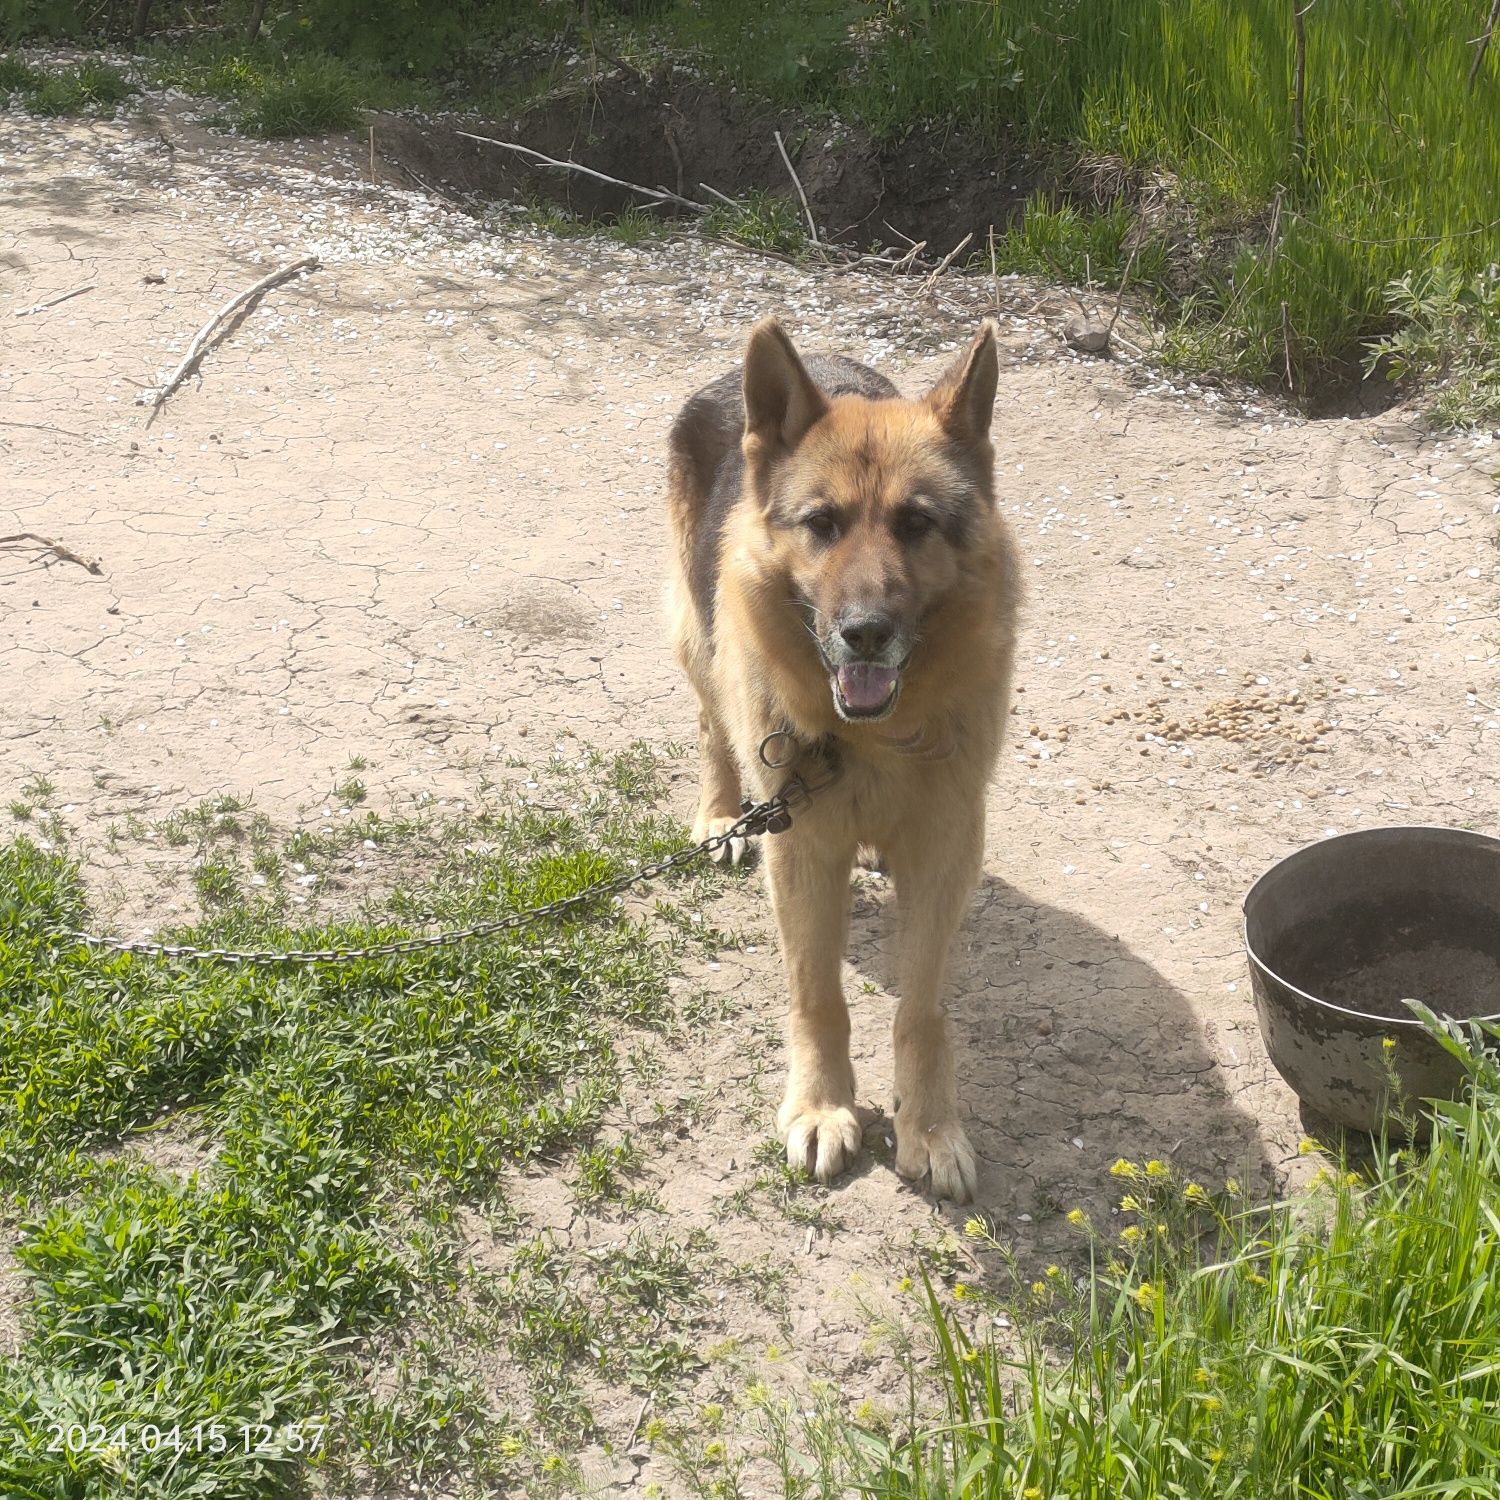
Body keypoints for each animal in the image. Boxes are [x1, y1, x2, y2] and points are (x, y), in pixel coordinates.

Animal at [666, 319, 1020, 1206]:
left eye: (916, 524)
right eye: (822, 523)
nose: (864, 633)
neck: (873, 744)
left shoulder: (943, 854)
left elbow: (921, 1012)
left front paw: (929, 1127)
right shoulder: (802, 852)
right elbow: (818, 994)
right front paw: (823, 1106)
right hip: (698, 638)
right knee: (711, 723)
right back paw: (721, 813)